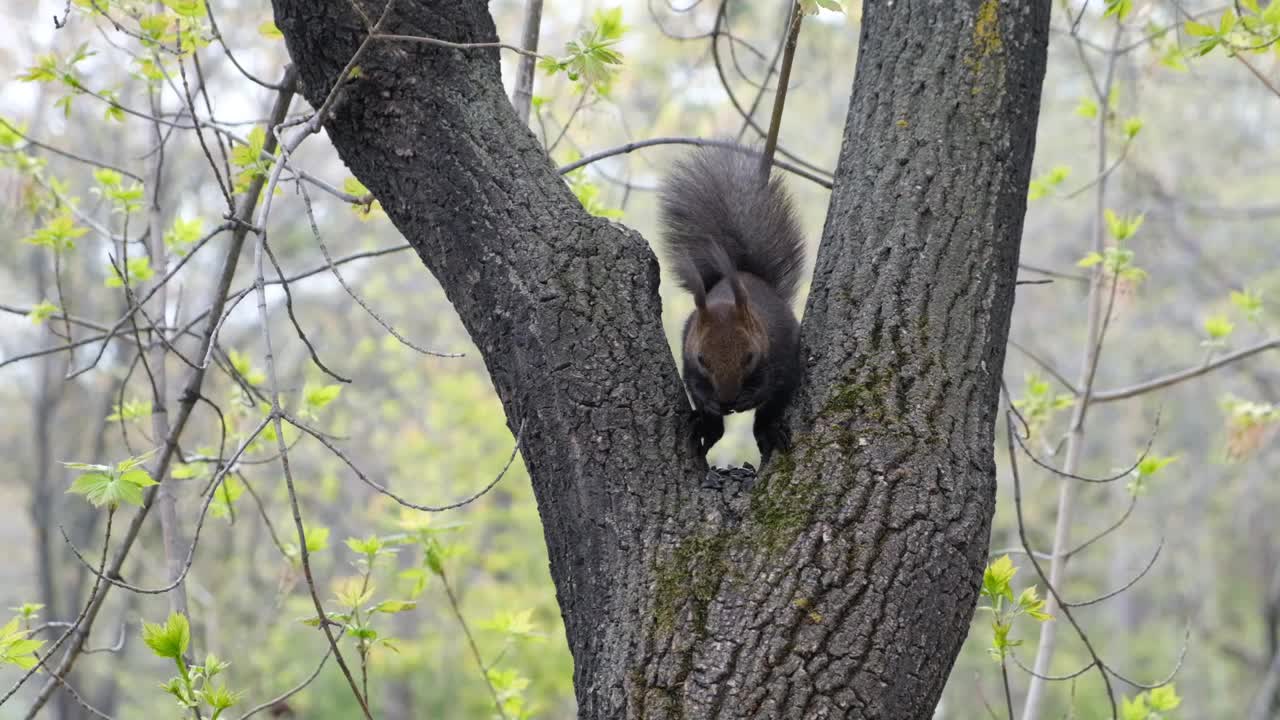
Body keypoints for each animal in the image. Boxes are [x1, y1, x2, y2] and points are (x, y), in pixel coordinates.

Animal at [655, 144, 803, 466]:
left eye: (749, 357)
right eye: (701, 359)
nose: (727, 399)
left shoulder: (777, 352)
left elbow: (767, 385)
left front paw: (748, 397)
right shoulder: (688, 357)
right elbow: (696, 385)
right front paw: (710, 402)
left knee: (767, 414)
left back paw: (768, 432)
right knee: (715, 429)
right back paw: (704, 429)